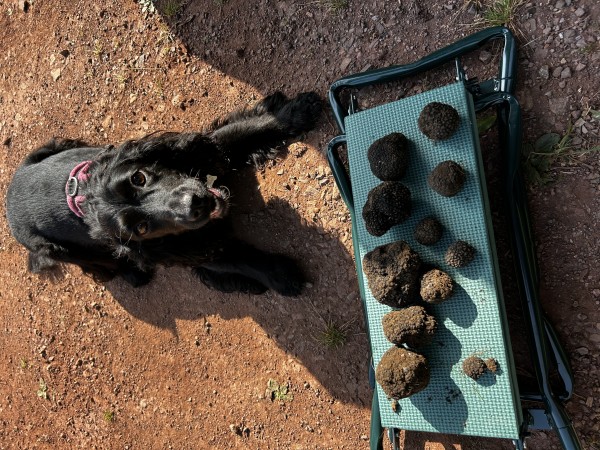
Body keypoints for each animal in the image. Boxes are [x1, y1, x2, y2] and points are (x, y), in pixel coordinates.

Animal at [5, 91, 324, 296]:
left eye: (139, 177)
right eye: (141, 228)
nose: (193, 205)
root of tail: (8, 199)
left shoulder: (207, 150)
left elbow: (248, 129)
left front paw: (297, 112)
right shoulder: (190, 248)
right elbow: (241, 258)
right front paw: (280, 274)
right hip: (59, 250)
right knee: (100, 266)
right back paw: (133, 273)